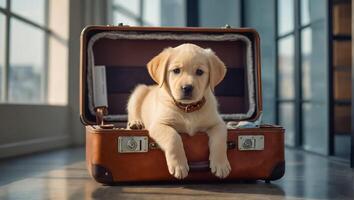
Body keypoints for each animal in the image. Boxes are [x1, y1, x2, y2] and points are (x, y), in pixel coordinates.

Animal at [126, 43, 230, 179]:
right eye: (176, 70)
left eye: (199, 72)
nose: (187, 88)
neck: (188, 109)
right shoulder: (158, 124)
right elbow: (173, 137)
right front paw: (179, 166)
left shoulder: (217, 123)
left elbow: (220, 139)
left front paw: (221, 164)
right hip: (138, 92)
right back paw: (135, 123)